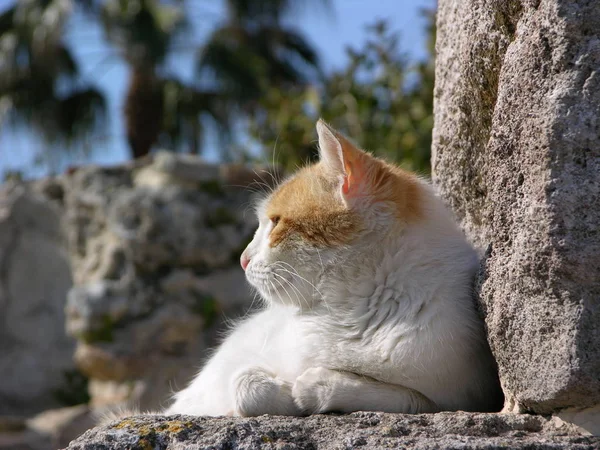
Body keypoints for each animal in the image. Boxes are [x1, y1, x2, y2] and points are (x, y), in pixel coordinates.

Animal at [164, 120, 502, 418]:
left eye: (276, 222)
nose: (243, 259)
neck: (350, 309)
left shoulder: (461, 396)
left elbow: (400, 395)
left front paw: (312, 387)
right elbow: (245, 385)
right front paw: (278, 393)